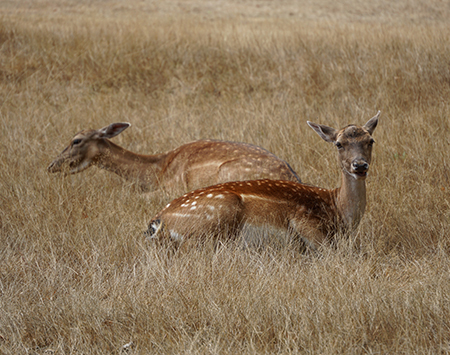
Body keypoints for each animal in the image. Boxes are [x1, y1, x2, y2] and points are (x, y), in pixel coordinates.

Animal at [47, 123, 300, 195]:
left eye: (76, 140)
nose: (51, 165)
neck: (156, 170)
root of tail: (292, 177)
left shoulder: (172, 187)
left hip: (230, 173)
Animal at [146, 112, 382, 252]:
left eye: (370, 140)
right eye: (339, 144)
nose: (360, 165)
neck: (337, 210)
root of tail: (158, 221)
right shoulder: (304, 221)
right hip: (219, 212)